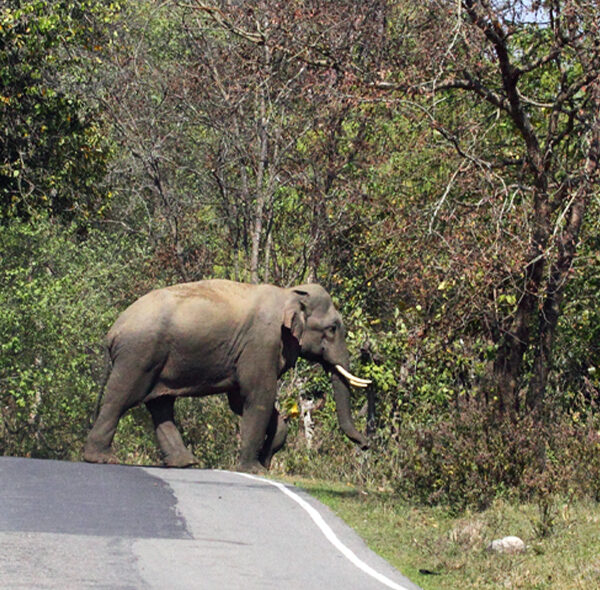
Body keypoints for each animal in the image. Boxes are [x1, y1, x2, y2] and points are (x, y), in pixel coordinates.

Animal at [84, 280, 370, 474]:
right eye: (332, 328)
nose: (366, 445)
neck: (290, 292)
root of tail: (113, 331)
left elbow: (241, 402)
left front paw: (265, 461)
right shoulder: (261, 343)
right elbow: (257, 396)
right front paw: (252, 470)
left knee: (160, 405)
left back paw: (186, 463)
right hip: (139, 355)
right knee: (121, 398)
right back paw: (100, 458)